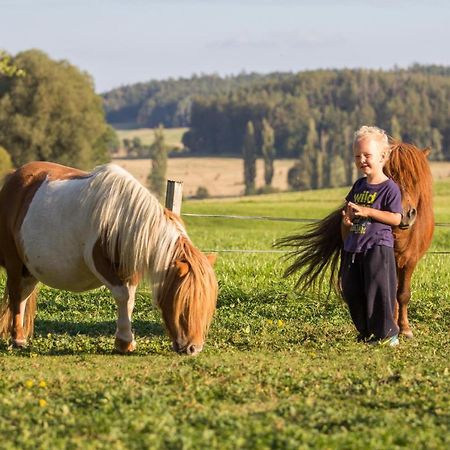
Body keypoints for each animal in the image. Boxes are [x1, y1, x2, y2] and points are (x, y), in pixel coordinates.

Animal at [0, 162, 218, 356]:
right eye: (184, 303)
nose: (193, 348)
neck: (121, 218)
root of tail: (13, 177)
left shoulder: (130, 268)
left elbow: (129, 300)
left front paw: (124, 341)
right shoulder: (100, 264)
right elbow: (122, 296)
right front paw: (125, 341)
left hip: (30, 269)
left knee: (23, 295)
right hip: (15, 264)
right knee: (16, 294)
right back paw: (18, 339)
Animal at [276, 141, 434, 338]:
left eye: (415, 179)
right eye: (390, 176)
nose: (405, 215)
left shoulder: (410, 259)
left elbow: (403, 294)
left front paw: (405, 329)